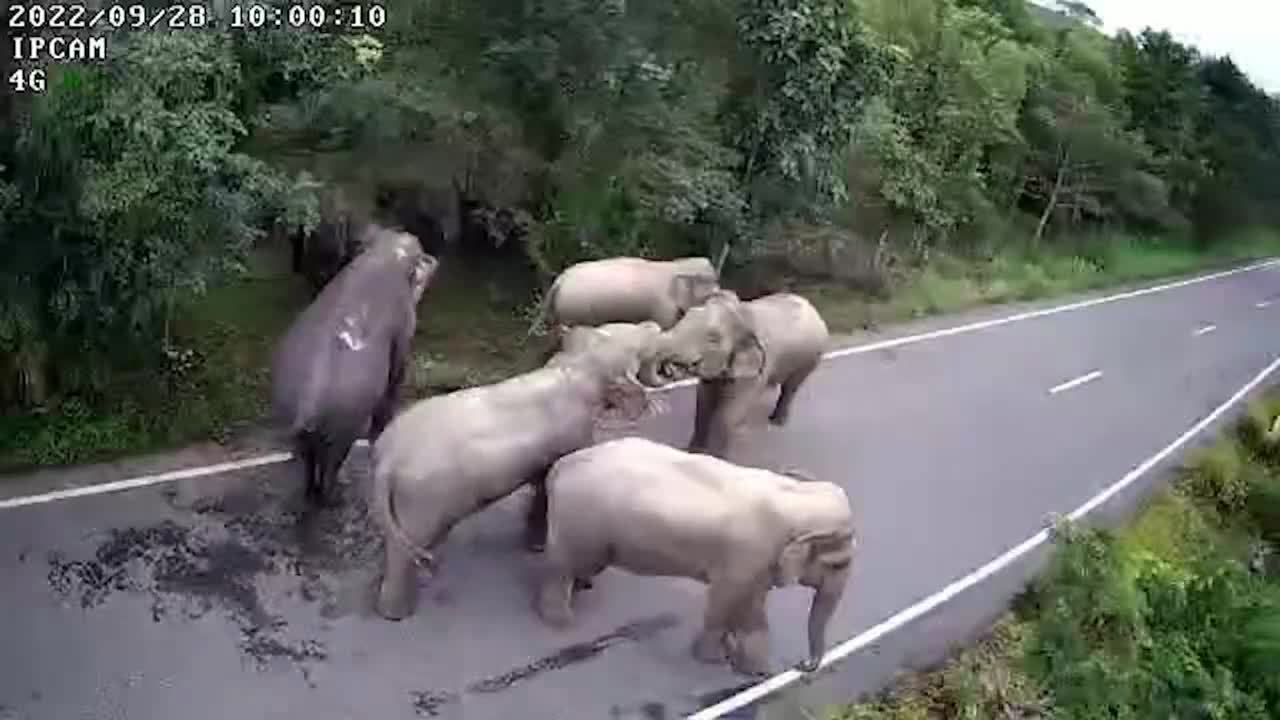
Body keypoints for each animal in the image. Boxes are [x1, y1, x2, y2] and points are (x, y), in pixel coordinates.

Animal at [270, 225, 440, 504]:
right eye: (418, 251)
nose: (410, 235)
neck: (385, 253)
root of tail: (308, 406)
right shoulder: (404, 327)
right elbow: (395, 375)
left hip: (290, 410)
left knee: (308, 460)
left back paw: (309, 494)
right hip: (346, 419)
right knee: (332, 462)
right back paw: (336, 495)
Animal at [519, 254, 721, 335]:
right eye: (709, 283)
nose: (720, 291)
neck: (676, 265)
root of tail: (560, 280)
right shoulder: (662, 308)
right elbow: (665, 329)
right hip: (575, 310)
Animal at [535, 435, 855, 676]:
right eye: (838, 564)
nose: (802, 666)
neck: (796, 494)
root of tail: (560, 466)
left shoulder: (759, 561)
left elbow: (748, 603)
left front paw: (746, 664)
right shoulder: (746, 555)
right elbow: (730, 601)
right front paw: (723, 662)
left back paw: (581, 588)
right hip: (582, 522)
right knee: (563, 566)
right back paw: (561, 621)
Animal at [645, 288, 834, 456]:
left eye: (713, 338)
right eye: (686, 317)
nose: (669, 370)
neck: (743, 314)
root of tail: (814, 309)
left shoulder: (758, 369)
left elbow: (728, 414)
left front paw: (715, 458)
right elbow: (703, 404)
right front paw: (693, 452)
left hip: (810, 358)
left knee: (791, 387)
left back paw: (776, 422)